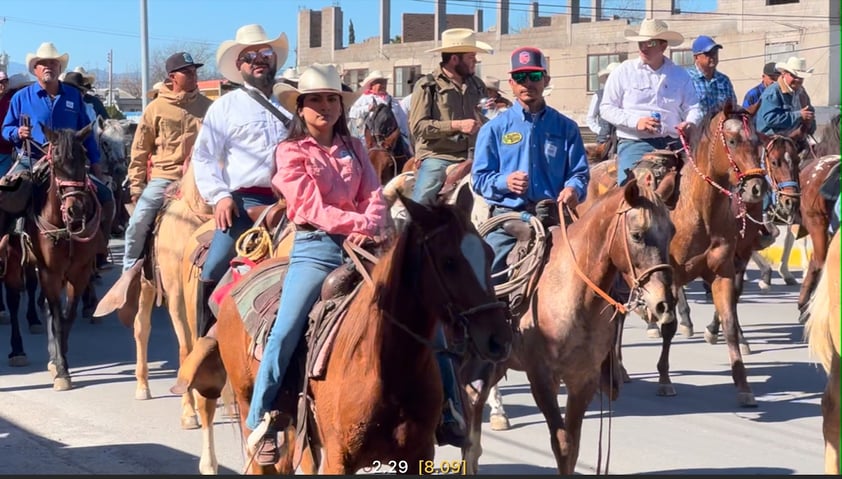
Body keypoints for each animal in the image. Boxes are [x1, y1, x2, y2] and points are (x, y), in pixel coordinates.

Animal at [26, 123, 103, 390]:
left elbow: (67, 316)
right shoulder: (49, 271)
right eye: (56, 162)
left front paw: (63, 357)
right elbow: (57, 318)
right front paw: (60, 369)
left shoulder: (79, 272)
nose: (76, 210)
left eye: (84, 159)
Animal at [171, 188, 512, 476]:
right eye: (449, 261)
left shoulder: (418, 456)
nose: (499, 338)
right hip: (245, 404)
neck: (384, 366)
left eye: (488, 253)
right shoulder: (338, 459)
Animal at [462, 181, 672, 476]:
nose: (664, 303)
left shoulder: (583, 379)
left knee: (474, 399)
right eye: (637, 235)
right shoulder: (542, 377)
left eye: (672, 232)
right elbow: (561, 444)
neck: (574, 292)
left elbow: (573, 446)